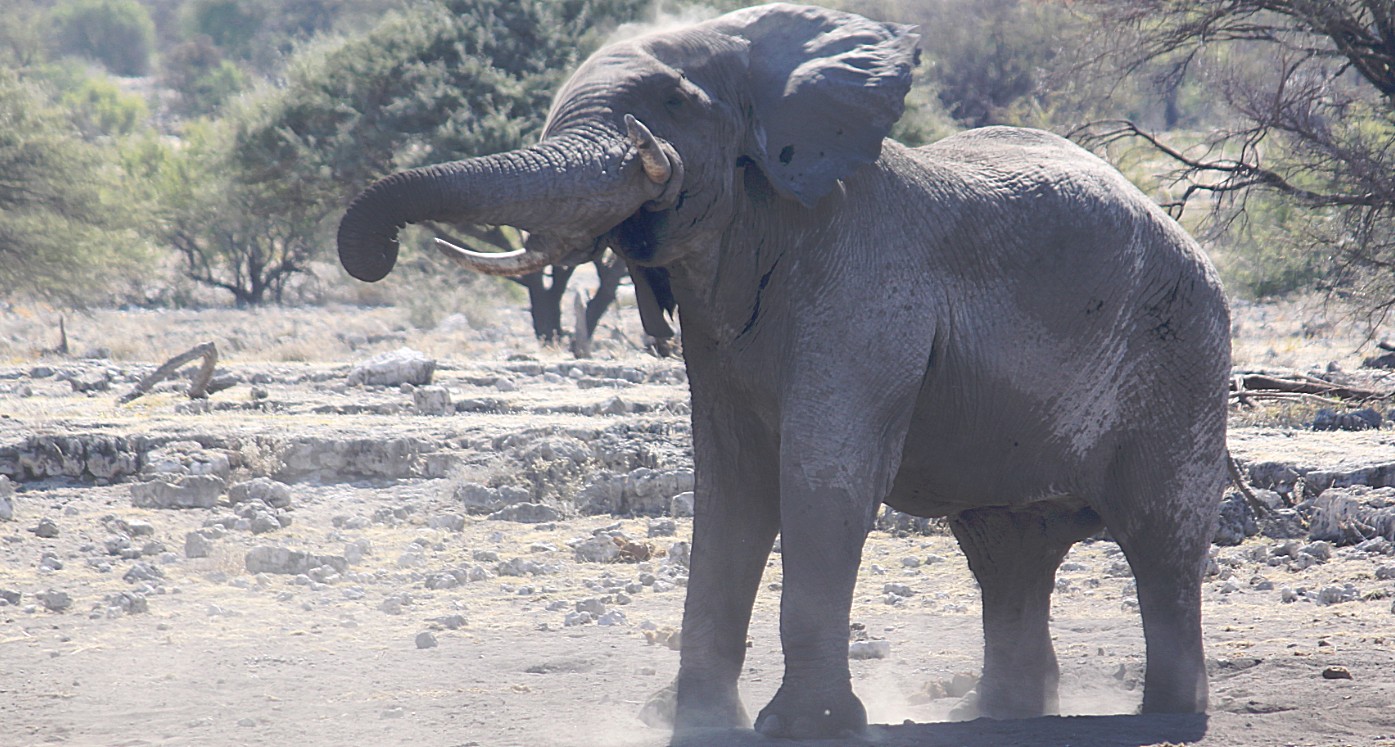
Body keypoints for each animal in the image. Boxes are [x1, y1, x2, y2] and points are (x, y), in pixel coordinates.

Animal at [337, 1, 1233, 742]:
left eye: (672, 104)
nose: (374, 253)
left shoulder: (867, 290)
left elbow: (820, 477)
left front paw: (802, 728)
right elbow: (730, 485)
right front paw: (696, 721)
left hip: (1183, 356)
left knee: (1160, 540)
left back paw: (1163, 714)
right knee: (1006, 549)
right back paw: (997, 714)